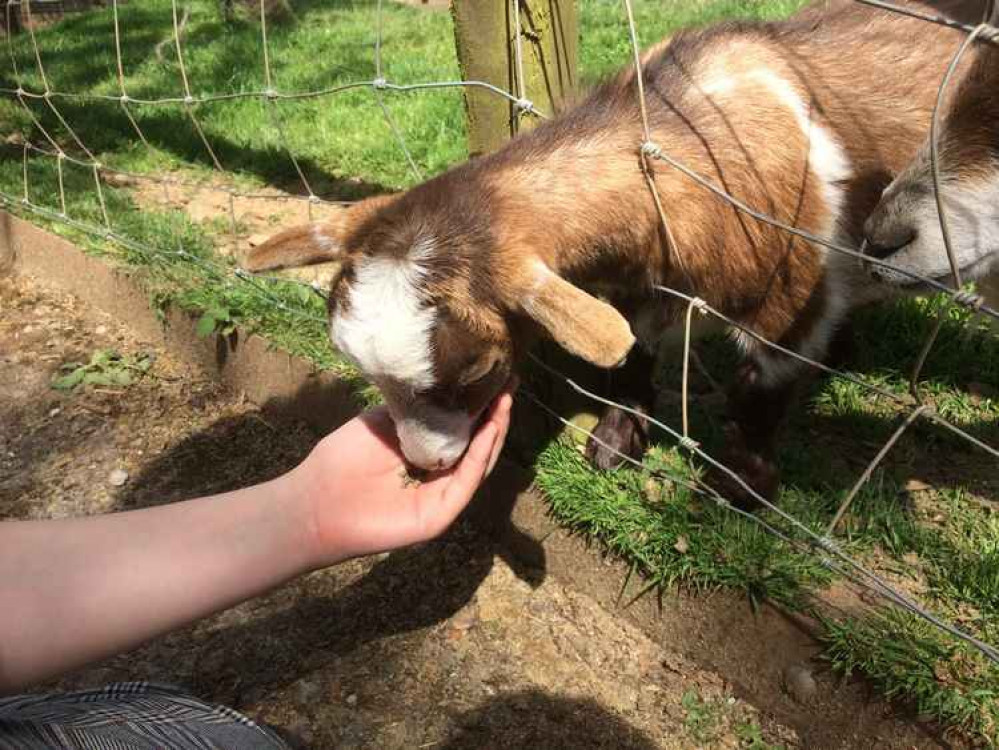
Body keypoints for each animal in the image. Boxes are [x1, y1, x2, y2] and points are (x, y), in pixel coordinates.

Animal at [248, 1, 984, 506]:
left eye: (478, 368)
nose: (426, 464)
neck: (685, 140)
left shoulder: (788, 298)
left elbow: (759, 389)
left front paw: (739, 487)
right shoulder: (635, 284)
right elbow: (630, 356)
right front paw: (614, 444)